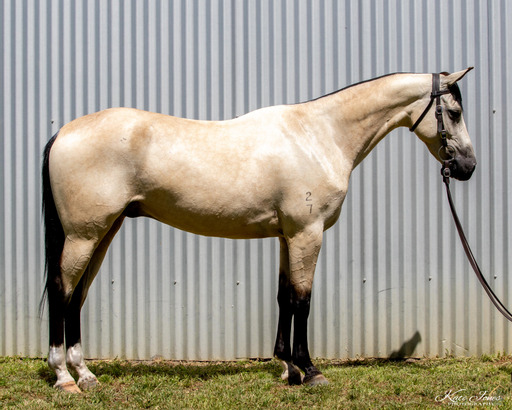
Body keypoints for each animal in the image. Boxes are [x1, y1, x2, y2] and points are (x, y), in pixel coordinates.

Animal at [42, 68, 476, 393]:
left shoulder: (287, 236)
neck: (318, 136)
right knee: (63, 293)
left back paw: (86, 374)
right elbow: (303, 300)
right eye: (454, 111)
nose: (468, 166)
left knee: (77, 296)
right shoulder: (307, 233)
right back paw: (64, 377)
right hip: (84, 235)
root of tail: (64, 132)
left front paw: (288, 369)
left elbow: (284, 297)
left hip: (103, 231)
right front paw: (311, 371)